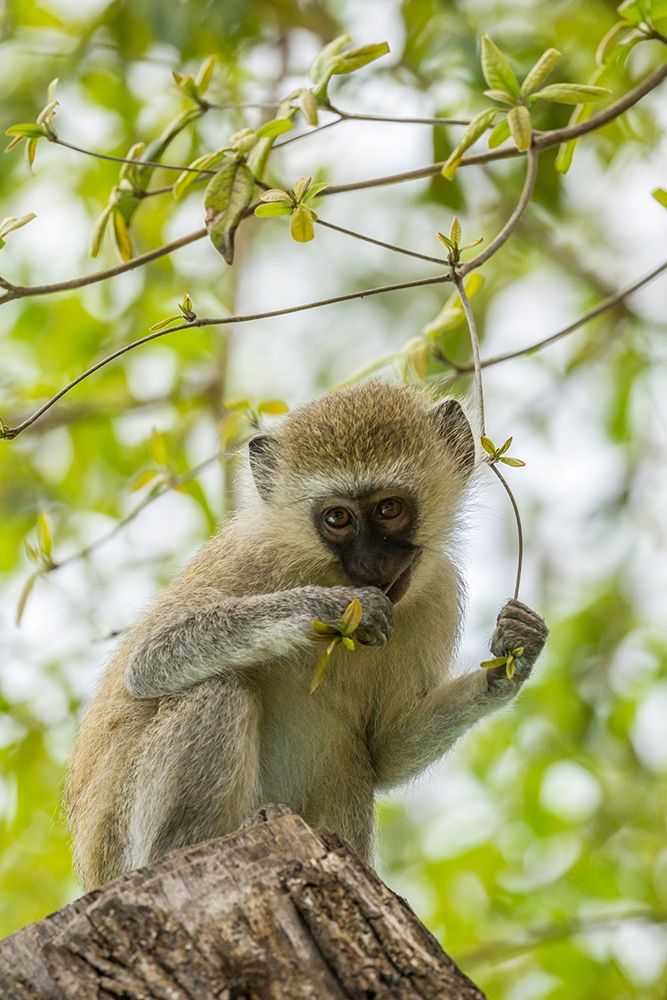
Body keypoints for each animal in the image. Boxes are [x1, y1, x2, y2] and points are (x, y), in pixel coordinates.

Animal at [66, 378, 548, 888]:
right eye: (337, 518)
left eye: (389, 508)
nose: (373, 563)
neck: (323, 567)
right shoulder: (252, 556)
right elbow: (148, 660)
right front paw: (331, 608)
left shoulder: (437, 595)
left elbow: (386, 751)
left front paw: (512, 655)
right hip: (122, 842)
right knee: (217, 689)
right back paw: (181, 846)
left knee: (351, 758)